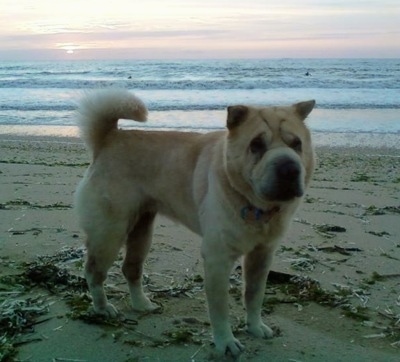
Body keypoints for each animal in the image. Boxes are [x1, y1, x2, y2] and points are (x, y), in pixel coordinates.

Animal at [75, 88, 316, 356]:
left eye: (297, 144)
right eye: (256, 146)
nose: (289, 169)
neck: (257, 207)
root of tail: (109, 138)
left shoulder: (262, 256)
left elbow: (254, 295)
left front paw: (255, 327)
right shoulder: (218, 259)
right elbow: (220, 309)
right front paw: (226, 342)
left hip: (142, 231)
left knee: (131, 269)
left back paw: (141, 304)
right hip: (110, 232)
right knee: (94, 271)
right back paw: (102, 308)